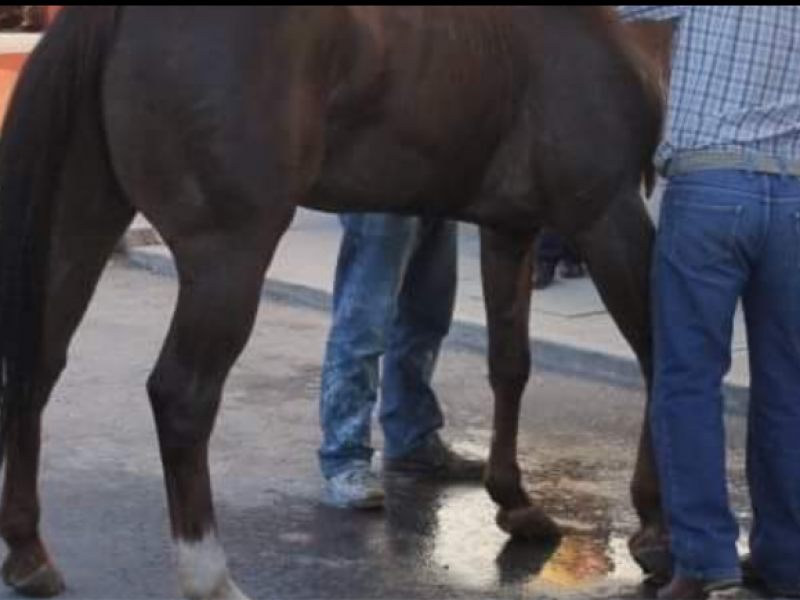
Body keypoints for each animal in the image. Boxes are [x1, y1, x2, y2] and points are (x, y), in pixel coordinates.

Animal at [0, 7, 664, 600]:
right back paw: (208, 577)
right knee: (182, 396)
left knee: (37, 366)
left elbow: (510, 365)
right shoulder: (607, 215)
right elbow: (661, 359)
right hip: (229, 255)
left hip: (81, 219)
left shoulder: (510, 228)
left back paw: (29, 552)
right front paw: (654, 529)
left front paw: (517, 503)